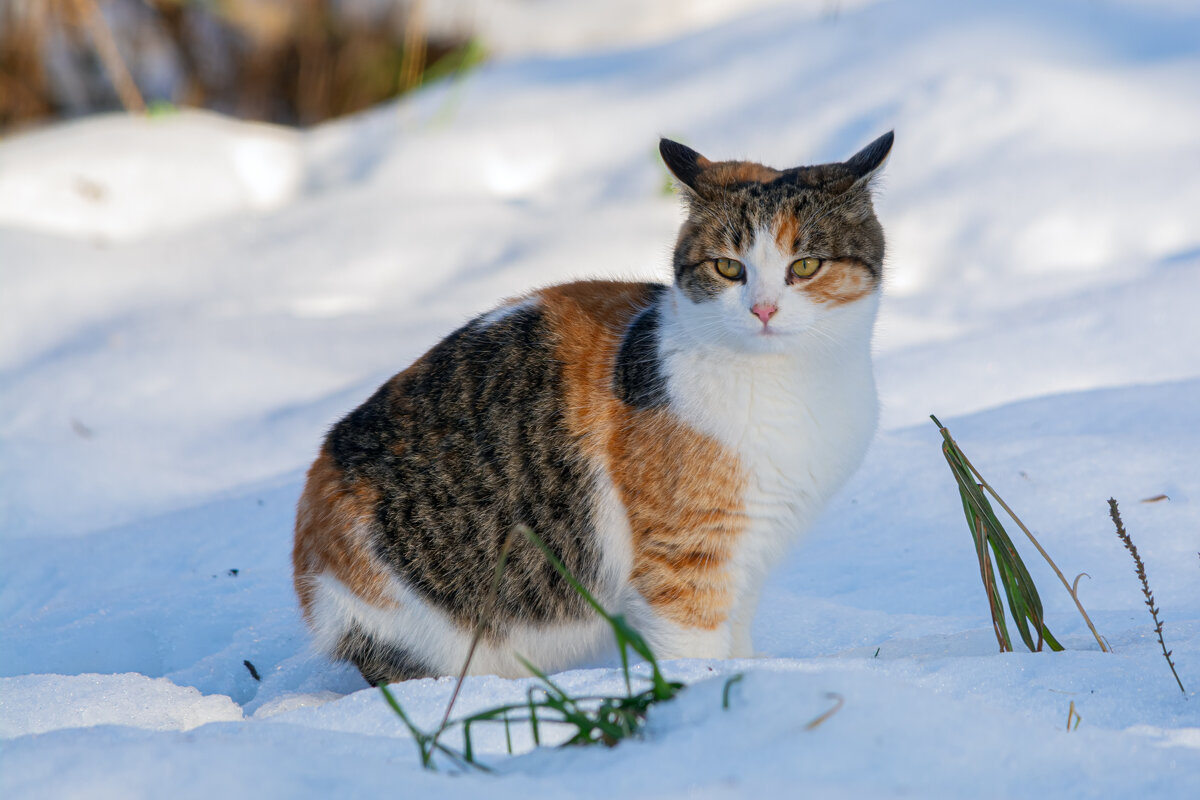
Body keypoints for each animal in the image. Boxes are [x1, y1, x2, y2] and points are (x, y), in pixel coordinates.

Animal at [292, 133, 892, 690]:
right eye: (728, 268)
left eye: (805, 265)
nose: (762, 309)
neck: (790, 384)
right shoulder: (685, 555)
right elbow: (694, 646)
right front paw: (702, 691)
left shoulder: (753, 549)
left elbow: (738, 627)